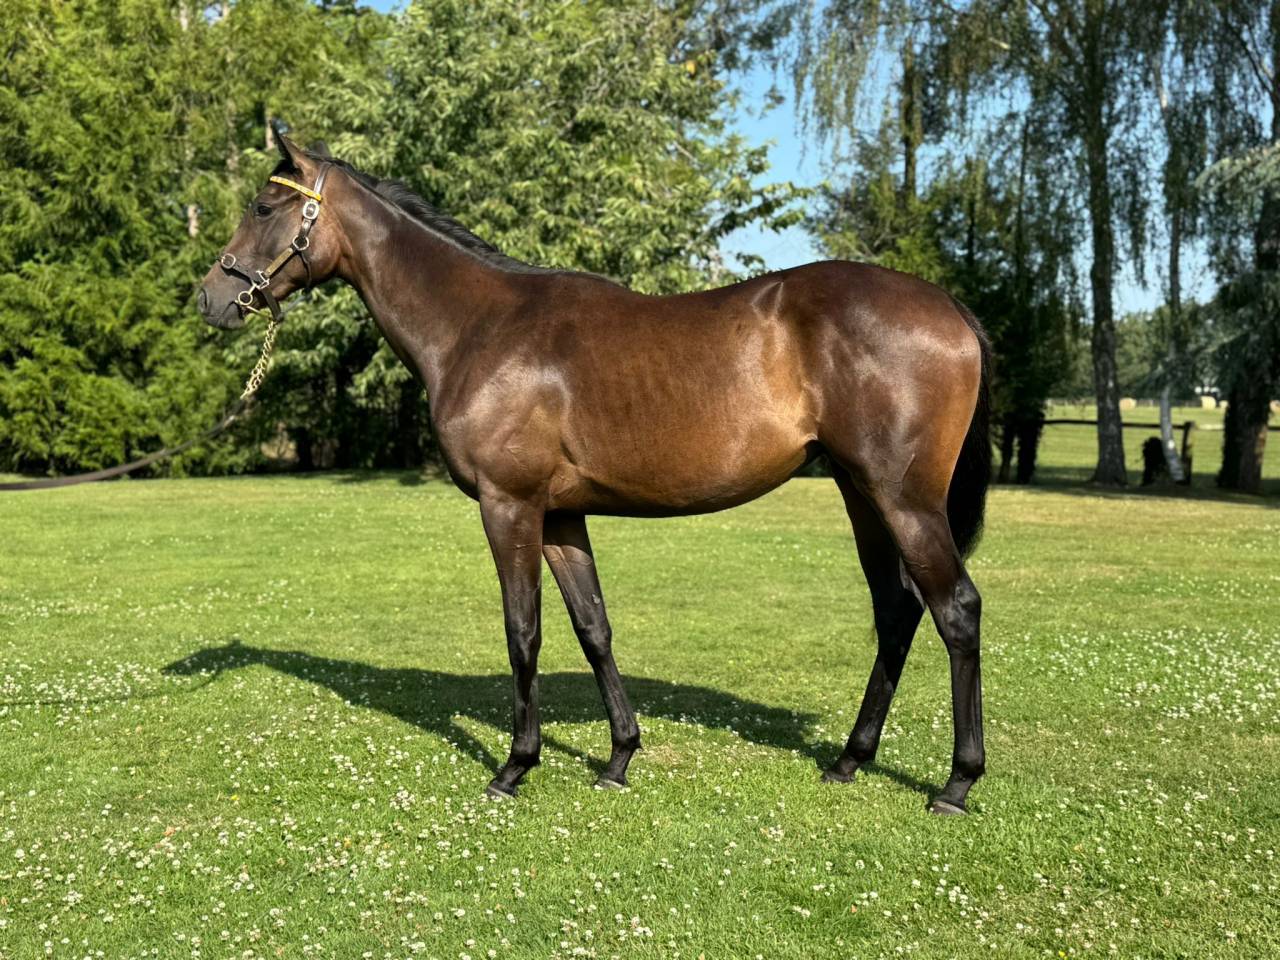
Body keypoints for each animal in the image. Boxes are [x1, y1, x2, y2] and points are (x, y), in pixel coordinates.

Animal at [199, 132, 993, 815]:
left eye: (262, 207)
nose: (211, 298)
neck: (478, 327)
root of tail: (950, 306)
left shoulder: (509, 506)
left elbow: (523, 631)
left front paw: (514, 766)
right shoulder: (560, 515)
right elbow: (593, 627)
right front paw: (618, 758)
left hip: (903, 500)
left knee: (955, 609)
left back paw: (957, 782)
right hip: (861, 495)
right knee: (896, 611)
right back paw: (850, 759)